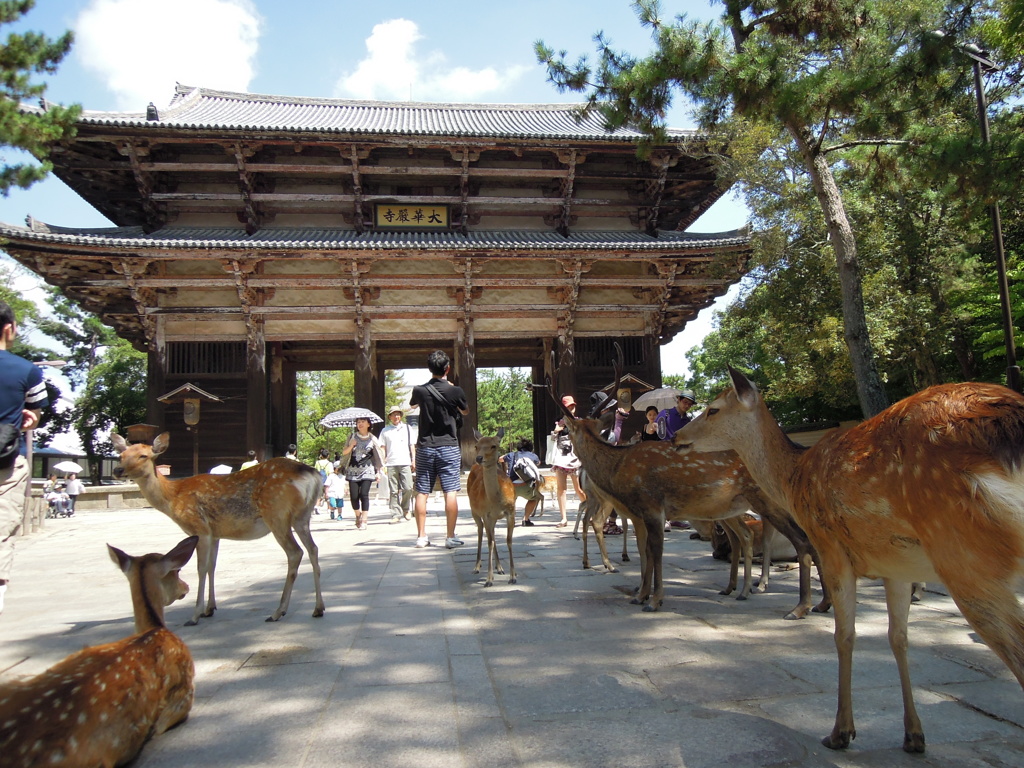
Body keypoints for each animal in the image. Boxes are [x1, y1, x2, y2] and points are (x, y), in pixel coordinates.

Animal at [111, 434, 323, 626]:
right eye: (121, 455)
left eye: (143, 456)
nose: (117, 469)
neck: (172, 497)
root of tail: (312, 475)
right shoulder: (215, 534)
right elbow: (212, 566)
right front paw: (210, 609)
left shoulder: (200, 527)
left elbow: (201, 568)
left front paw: (195, 615)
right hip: (301, 517)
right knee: (313, 549)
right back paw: (318, 608)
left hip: (276, 514)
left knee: (295, 552)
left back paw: (278, 612)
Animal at [471, 430, 520, 585]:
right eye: (476, 446)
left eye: (493, 445)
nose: (479, 458)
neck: (496, 501)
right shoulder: (486, 514)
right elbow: (489, 542)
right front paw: (488, 580)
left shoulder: (511, 512)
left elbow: (508, 540)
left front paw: (513, 576)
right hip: (474, 511)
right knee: (481, 532)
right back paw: (477, 567)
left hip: (493, 519)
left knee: (491, 534)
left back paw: (500, 568)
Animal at [671, 370, 1024, 753]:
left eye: (713, 409)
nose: (676, 438)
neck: (794, 477)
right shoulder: (895, 563)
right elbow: (898, 637)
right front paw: (913, 735)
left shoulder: (832, 547)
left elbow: (844, 635)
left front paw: (840, 731)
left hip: (965, 554)